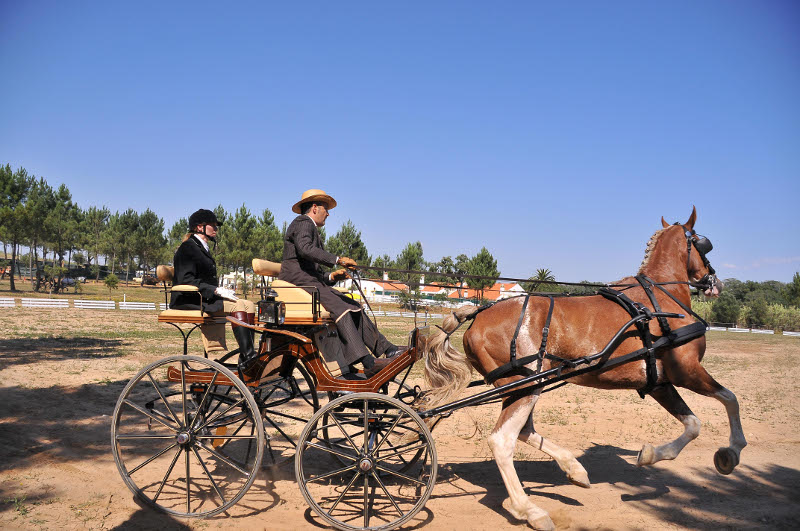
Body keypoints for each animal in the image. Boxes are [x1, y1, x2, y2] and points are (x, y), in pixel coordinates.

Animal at [422, 209, 748, 531]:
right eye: (704, 244)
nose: (716, 283)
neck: (659, 301)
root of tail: (479, 314)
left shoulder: (658, 383)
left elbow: (692, 423)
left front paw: (650, 455)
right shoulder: (687, 371)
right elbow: (729, 400)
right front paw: (731, 451)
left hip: (524, 388)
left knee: (525, 432)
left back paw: (574, 469)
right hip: (525, 387)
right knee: (502, 441)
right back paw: (529, 510)